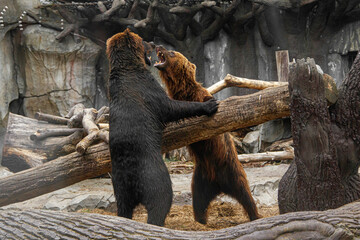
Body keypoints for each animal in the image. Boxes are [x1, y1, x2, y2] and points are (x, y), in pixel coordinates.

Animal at [104, 30, 217, 227]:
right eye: (143, 40)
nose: (152, 42)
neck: (129, 69)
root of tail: (131, 178)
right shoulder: (150, 92)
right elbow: (173, 107)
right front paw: (210, 104)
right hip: (153, 177)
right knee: (160, 201)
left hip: (119, 186)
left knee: (124, 208)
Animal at [153, 46, 260, 224]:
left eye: (172, 52)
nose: (158, 46)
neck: (183, 91)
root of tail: (219, 185)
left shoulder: (200, 96)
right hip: (200, 178)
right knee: (199, 201)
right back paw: (200, 220)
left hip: (232, 170)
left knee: (245, 194)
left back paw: (255, 215)